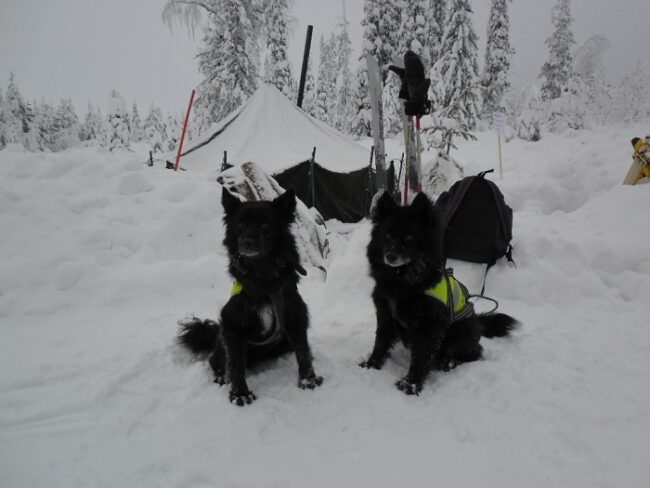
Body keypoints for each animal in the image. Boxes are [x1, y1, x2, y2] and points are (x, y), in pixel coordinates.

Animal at [177, 189, 322, 406]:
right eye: (240, 225)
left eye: (265, 226)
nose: (246, 243)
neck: (264, 279)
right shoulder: (233, 325)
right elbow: (236, 364)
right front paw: (240, 394)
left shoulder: (295, 315)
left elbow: (303, 352)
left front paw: (308, 381)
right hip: (223, 343)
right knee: (216, 362)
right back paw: (222, 378)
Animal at [360, 193, 516, 394]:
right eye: (388, 235)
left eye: (409, 238)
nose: (391, 257)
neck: (403, 281)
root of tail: (478, 323)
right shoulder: (385, 314)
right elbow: (380, 343)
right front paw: (371, 365)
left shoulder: (430, 326)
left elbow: (421, 357)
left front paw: (410, 384)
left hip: (460, 332)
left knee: (474, 353)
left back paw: (448, 363)